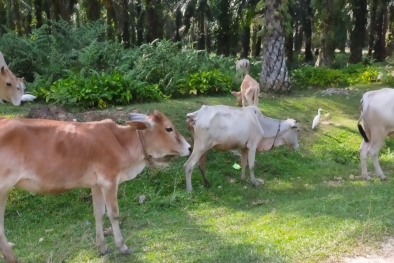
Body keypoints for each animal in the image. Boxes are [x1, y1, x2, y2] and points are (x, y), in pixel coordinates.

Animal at [0, 112, 192, 263]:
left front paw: (102, 247)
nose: (190, 148)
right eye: (169, 128)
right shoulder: (109, 181)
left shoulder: (96, 185)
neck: (122, 142)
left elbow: (98, 213)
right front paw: (122, 246)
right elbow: (113, 214)